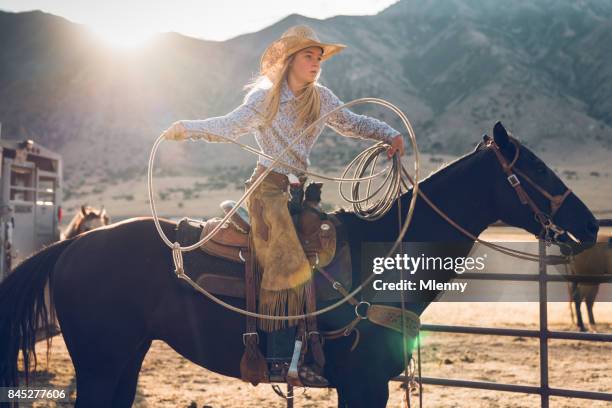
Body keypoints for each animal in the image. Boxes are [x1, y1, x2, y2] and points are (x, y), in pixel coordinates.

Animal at [0, 122, 596, 406]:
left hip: (124, 358)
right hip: (99, 364)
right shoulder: (363, 384)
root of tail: (72, 247)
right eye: (536, 168)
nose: (590, 225)